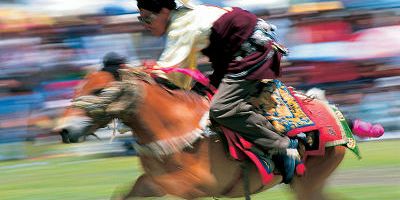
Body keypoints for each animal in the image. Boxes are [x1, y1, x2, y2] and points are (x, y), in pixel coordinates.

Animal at [55, 68, 366, 199]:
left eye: (99, 91)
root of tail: (334, 113)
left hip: (309, 182)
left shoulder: (192, 190)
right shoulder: (152, 185)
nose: (63, 130)